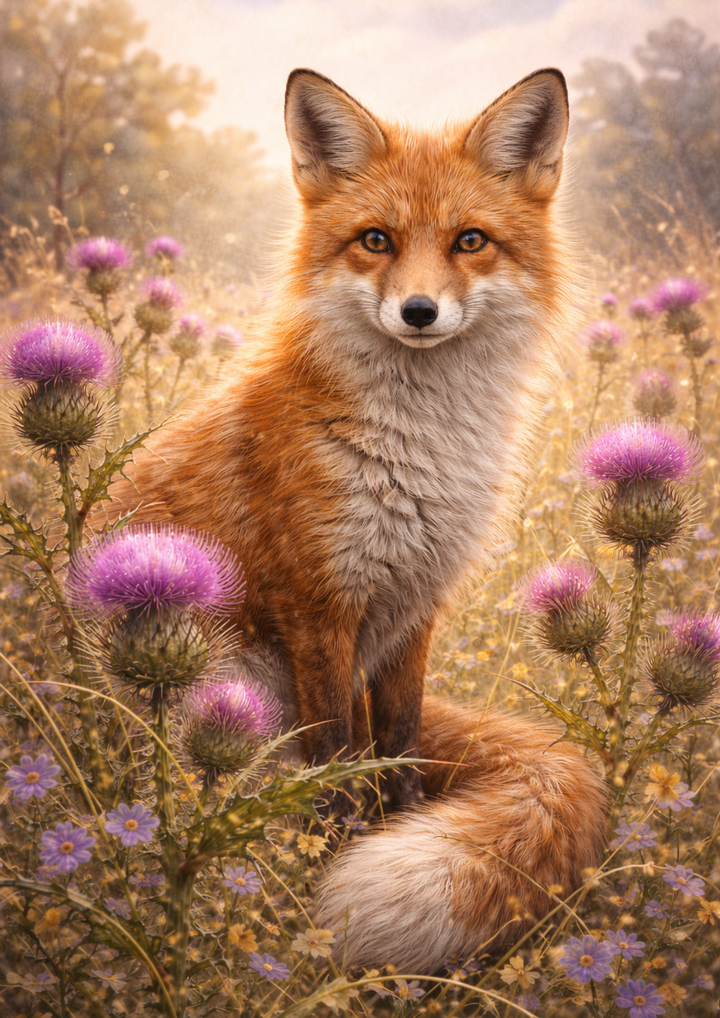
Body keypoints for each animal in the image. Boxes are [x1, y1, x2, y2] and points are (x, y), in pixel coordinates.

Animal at [107, 67, 607, 971]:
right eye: (375, 240)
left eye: (470, 241)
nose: (418, 311)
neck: (418, 453)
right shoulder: (319, 608)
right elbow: (334, 763)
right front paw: (325, 868)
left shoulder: (414, 604)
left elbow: (398, 751)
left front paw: (392, 829)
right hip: (224, 687)